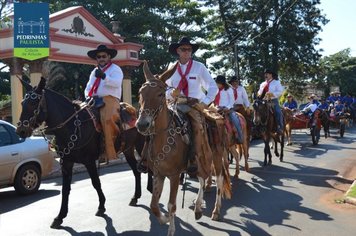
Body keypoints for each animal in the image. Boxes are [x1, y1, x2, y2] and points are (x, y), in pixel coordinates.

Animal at [16, 77, 152, 229]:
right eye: (22, 103)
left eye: (34, 102)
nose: (21, 130)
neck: (74, 126)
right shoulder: (66, 163)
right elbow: (65, 189)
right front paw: (60, 216)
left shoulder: (89, 161)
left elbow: (96, 182)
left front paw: (101, 206)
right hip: (128, 149)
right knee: (136, 171)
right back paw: (135, 197)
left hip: (140, 144)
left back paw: (151, 190)